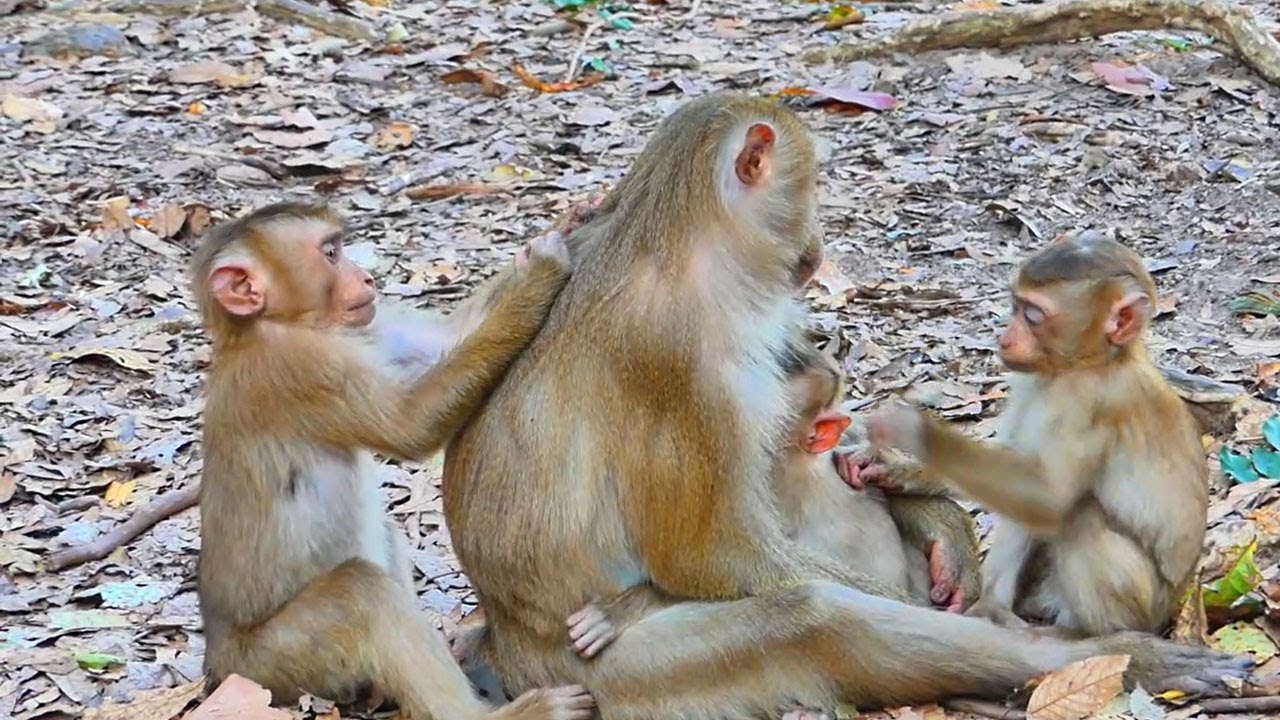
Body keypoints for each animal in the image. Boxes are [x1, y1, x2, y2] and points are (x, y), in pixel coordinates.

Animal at [192, 201, 596, 720]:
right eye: (331, 253)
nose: (366, 278)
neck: (271, 326)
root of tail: (217, 665)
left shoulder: (362, 327)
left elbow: (442, 340)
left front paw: (566, 224)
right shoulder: (300, 366)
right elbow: (409, 424)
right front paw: (541, 273)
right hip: (272, 664)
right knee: (360, 594)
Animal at [862, 235, 1209, 639]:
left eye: (1033, 316)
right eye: (1016, 306)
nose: (1004, 338)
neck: (1087, 364)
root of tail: (1173, 608)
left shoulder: (1091, 401)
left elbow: (1047, 497)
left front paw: (916, 434)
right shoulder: (1030, 381)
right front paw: (903, 469)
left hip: (1144, 606)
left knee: (1077, 515)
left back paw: (1085, 634)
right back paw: (993, 607)